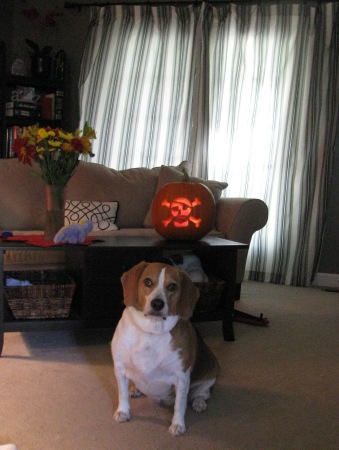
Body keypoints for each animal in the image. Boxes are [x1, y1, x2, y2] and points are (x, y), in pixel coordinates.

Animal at [111, 260, 220, 436]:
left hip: (210, 375)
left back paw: (198, 403)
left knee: (202, 393)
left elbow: (180, 404)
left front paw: (178, 424)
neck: (151, 331)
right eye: (147, 282)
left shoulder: (182, 377)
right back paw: (136, 389)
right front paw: (123, 412)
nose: (157, 303)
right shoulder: (120, 368)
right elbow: (122, 394)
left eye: (172, 286)